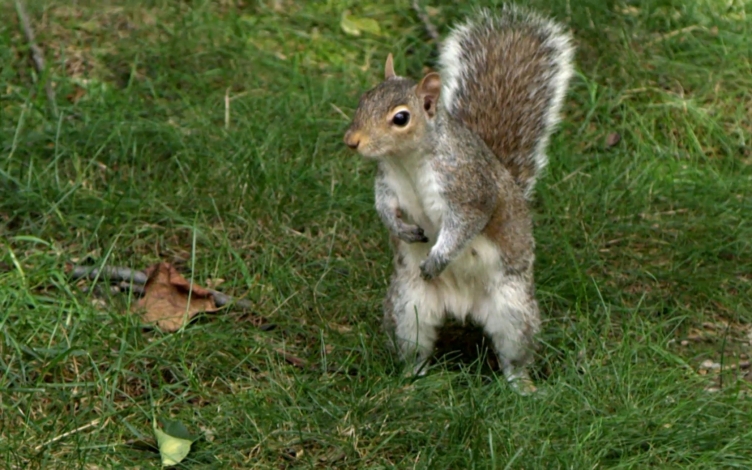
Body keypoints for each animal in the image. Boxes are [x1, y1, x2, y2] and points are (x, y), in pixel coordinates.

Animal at [343, 4, 574, 393]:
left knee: (514, 354)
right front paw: (401, 230)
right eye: (364, 98)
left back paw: (523, 387)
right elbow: (384, 207)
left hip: (513, 310)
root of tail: (462, 308)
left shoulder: (469, 187)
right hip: (408, 309)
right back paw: (412, 380)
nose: (352, 141)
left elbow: (464, 225)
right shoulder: (388, 183)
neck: (408, 161)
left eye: (401, 118)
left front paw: (437, 258)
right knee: (416, 349)